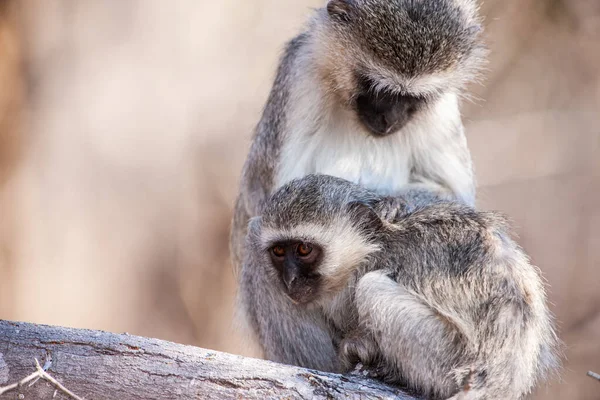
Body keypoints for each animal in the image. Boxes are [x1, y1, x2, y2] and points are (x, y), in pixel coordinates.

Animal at [232, 0, 486, 370]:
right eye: (375, 86)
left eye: (414, 97)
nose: (389, 120)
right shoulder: (299, 76)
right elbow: (273, 201)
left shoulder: (442, 105)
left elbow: (454, 195)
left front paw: (394, 205)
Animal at [247, 175, 556, 400]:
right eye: (278, 251)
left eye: (303, 249)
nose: (290, 279)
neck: (368, 252)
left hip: (449, 358)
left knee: (372, 288)